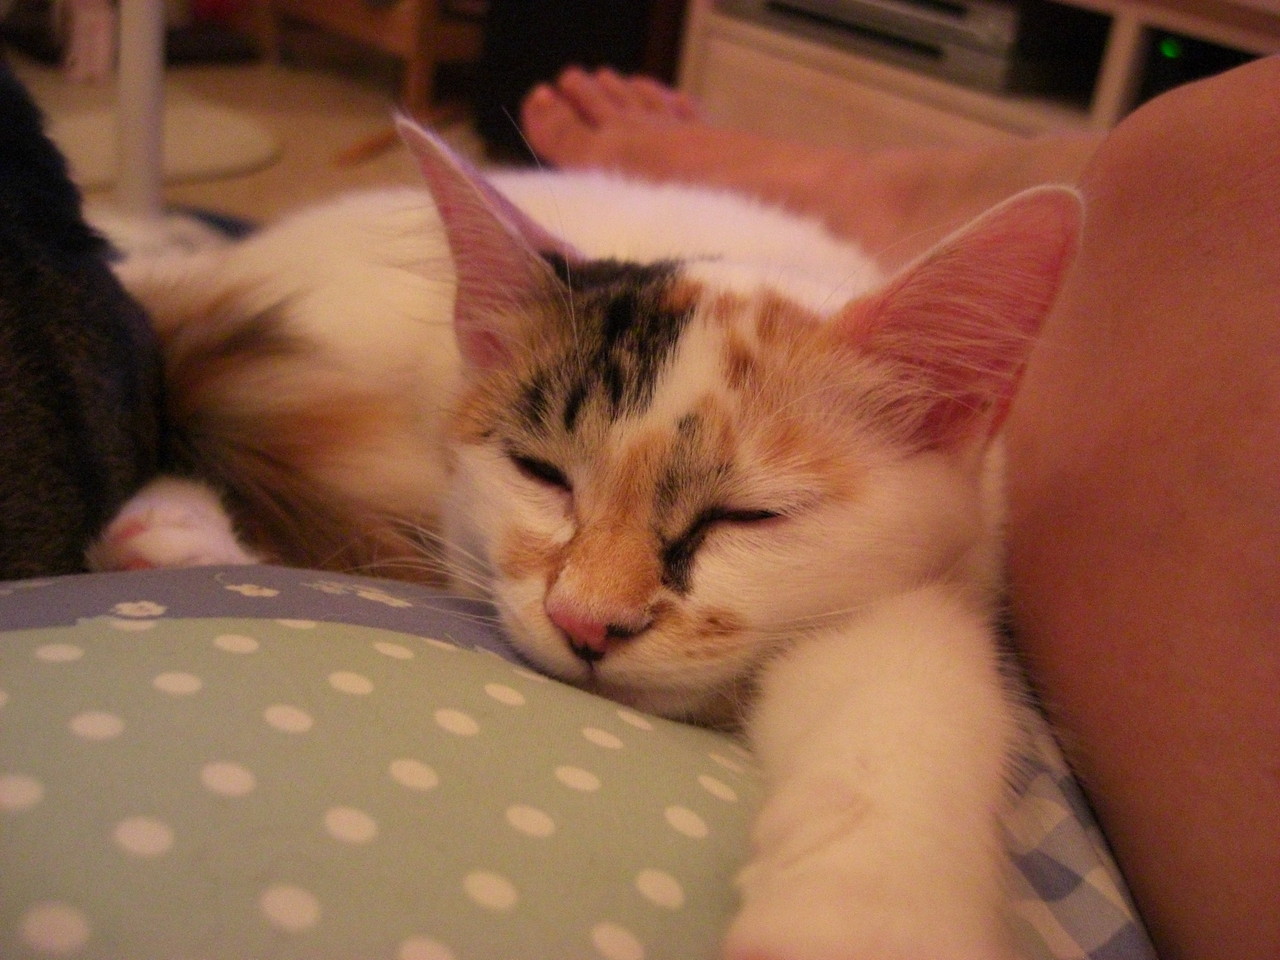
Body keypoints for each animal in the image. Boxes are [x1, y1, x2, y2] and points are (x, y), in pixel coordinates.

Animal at [98, 118, 1081, 959]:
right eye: (542, 474)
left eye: (745, 517)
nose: (586, 623)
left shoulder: (937, 579)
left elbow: (908, 701)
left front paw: (856, 915)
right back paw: (171, 530)